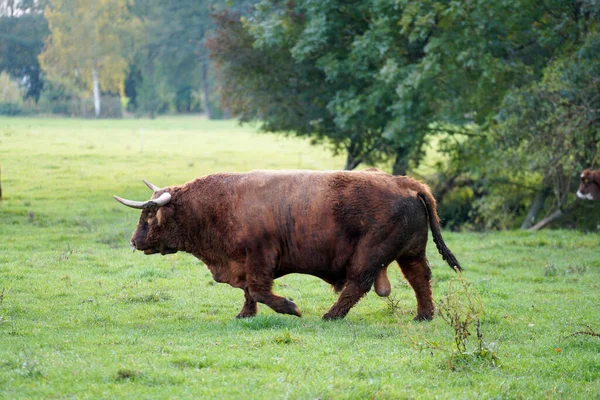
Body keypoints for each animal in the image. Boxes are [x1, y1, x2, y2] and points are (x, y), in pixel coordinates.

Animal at [115, 170, 462, 320]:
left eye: (149, 213)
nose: (134, 241)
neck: (218, 204)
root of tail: (406, 183)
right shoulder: (245, 262)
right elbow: (249, 291)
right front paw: (245, 314)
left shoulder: (259, 257)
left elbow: (258, 289)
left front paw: (290, 307)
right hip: (410, 253)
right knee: (420, 279)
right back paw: (423, 316)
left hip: (370, 254)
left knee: (357, 284)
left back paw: (330, 316)